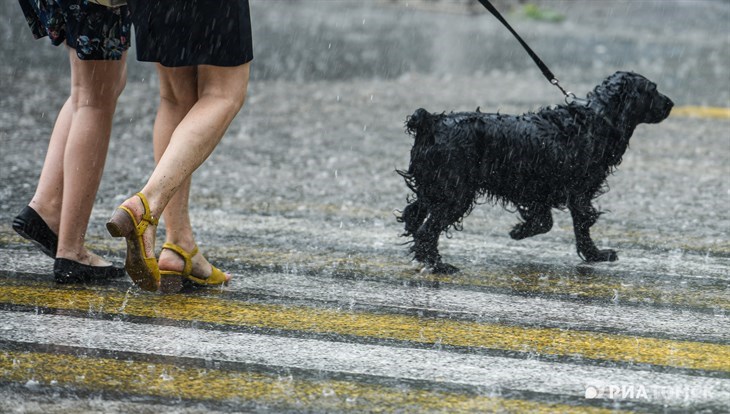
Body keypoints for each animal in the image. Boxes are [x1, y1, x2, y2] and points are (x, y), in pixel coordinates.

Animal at [398, 70, 672, 274]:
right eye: (652, 90)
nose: (671, 104)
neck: (596, 119)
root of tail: (430, 122)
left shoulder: (539, 188)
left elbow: (545, 220)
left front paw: (520, 231)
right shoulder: (579, 191)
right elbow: (581, 223)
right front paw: (595, 254)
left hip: (433, 186)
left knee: (414, 213)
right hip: (455, 192)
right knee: (427, 230)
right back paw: (437, 264)